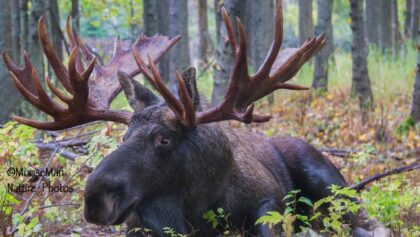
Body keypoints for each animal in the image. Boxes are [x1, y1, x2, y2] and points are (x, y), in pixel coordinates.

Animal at [4, 0, 390, 237]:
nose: (96, 199)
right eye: (123, 137)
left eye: (164, 139)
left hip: (328, 180)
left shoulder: (268, 201)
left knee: (370, 222)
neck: (196, 204)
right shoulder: (138, 224)